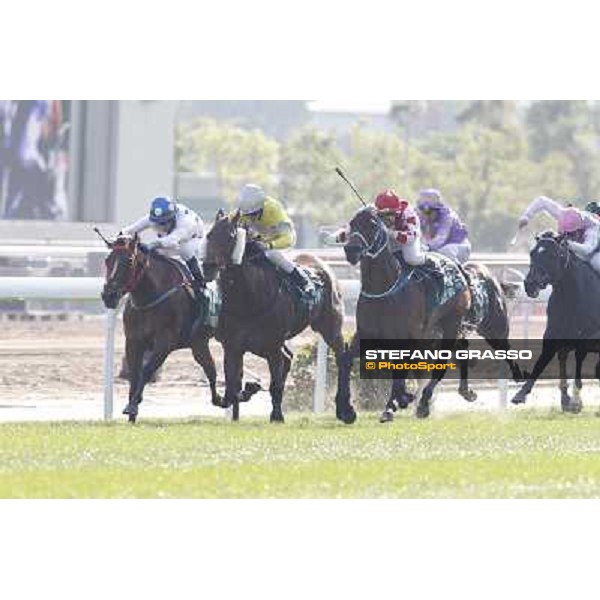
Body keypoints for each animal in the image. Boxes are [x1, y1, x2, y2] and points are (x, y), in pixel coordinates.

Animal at [99, 233, 221, 422]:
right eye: (107, 259)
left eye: (129, 260)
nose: (108, 295)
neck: (149, 297)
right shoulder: (133, 341)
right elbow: (134, 375)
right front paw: (131, 414)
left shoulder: (165, 342)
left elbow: (146, 370)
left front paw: (133, 405)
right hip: (199, 344)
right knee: (210, 368)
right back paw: (223, 399)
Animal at [203, 209, 356, 424]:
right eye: (209, 235)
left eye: (230, 236)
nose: (208, 267)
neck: (249, 299)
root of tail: (321, 264)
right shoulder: (233, 347)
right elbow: (231, 391)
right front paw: (249, 389)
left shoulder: (272, 346)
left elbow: (273, 383)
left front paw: (276, 415)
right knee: (288, 357)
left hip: (329, 327)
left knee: (342, 357)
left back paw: (346, 410)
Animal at [508, 232, 600, 406]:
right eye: (532, 253)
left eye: (551, 255)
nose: (530, 284)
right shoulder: (554, 331)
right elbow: (544, 359)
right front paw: (520, 393)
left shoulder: (588, 335)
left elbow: (578, 357)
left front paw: (575, 398)